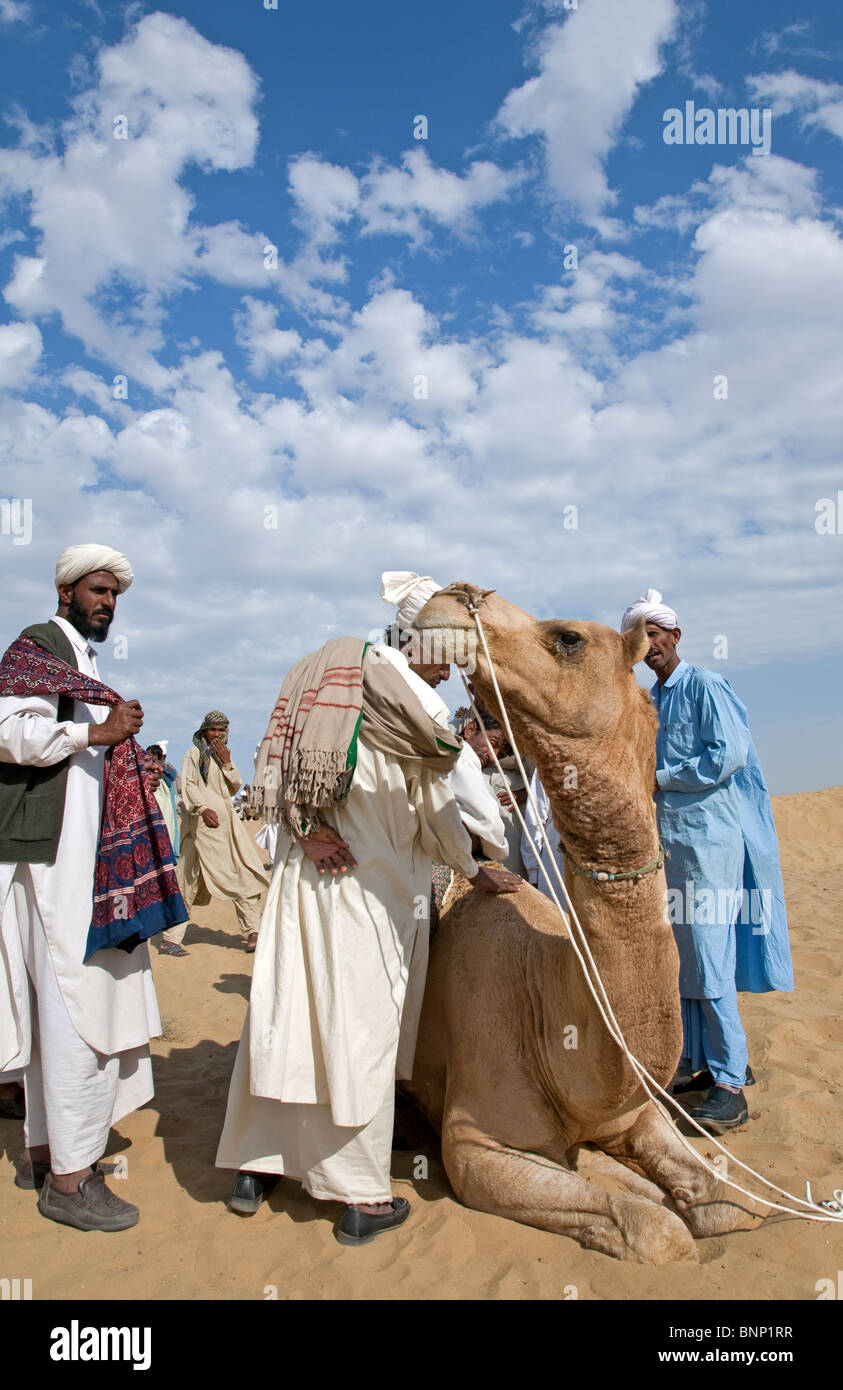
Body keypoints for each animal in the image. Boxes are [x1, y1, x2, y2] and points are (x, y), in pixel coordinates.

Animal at [406, 581, 767, 1267]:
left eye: (567, 637)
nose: (448, 597)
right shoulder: (475, 1146)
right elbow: (661, 1233)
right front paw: (640, 1197)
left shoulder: (637, 1112)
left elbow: (728, 1204)